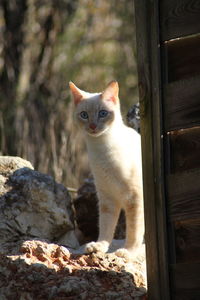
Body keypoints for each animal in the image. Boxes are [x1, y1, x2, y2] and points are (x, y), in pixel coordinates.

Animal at [69, 81, 144, 258]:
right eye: (84, 115)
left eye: (103, 113)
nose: (93, 126)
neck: (101, 148)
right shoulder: (107, 198)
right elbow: (106, 227)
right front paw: (98, 247)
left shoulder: (134, 199)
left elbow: (134, 230)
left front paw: (128, 252)